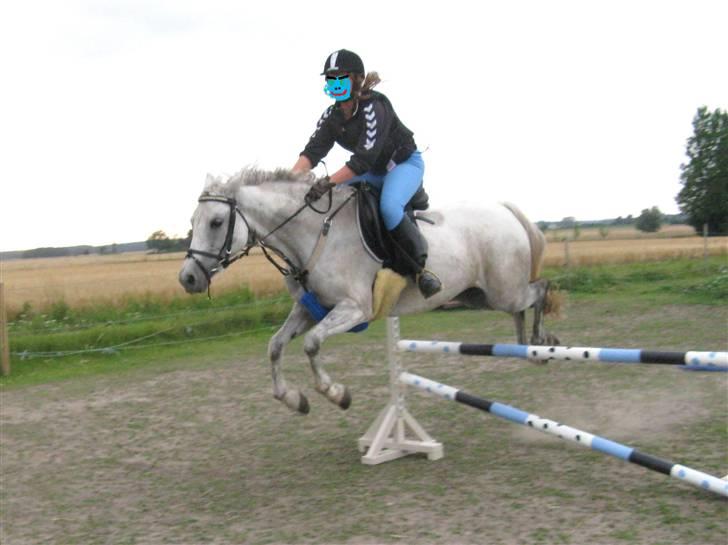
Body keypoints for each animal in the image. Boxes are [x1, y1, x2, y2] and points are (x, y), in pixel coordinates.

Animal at [179, 167, 560, 414]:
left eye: (216, 222)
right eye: (192, 223)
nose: (188, 279)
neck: (313, 234)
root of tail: (504, 209)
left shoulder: (353, 309)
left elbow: (312, 344)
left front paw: (337, 394)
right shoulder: (309, 309)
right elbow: (275, 346)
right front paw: (293, 399)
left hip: (502, 290)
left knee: (539, 289)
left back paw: (541, 342)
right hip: (479, 294)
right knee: (521, 307)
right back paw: (528, 347)